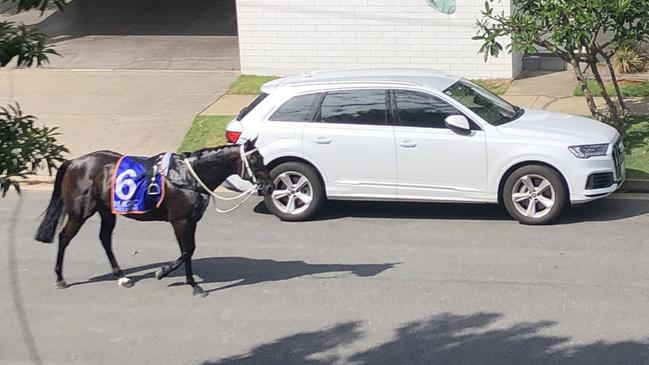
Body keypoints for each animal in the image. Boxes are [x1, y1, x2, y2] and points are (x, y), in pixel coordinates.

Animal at [34, 139, 272, 296]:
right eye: (254, 160)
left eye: (261, 158)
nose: (269, 187)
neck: (187, 177)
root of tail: (74, 162)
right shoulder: (180, 220)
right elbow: (186, 250)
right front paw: (172, 276)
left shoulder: (192, 220)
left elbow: (189, 250)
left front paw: (186, 281)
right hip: (80, 213)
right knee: (64, 237)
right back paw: (60, 278)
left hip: (108, 211)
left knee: (104, 239)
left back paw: (121, 276)